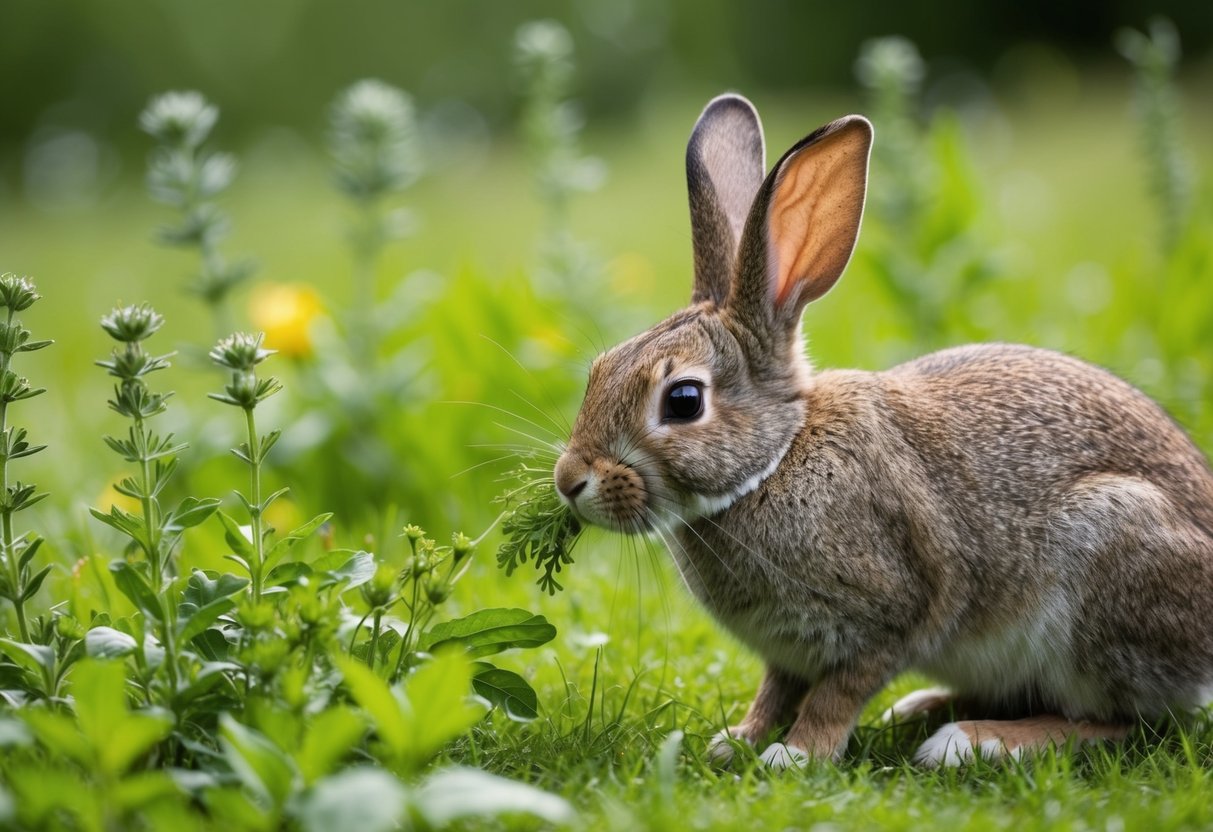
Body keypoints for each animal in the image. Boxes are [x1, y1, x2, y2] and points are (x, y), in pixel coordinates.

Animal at [550, 92, 1213, 771]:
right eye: (600, 369)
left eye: (683, 401)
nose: (569, 481)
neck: (778, 458)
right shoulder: (788, 652)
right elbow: (776, 689)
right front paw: (739, 740)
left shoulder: (889, 616)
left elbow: (837, 694)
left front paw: (796, 755)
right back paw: (922, 708)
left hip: (1109, 566)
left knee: (1119, 720)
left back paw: (970, 741)